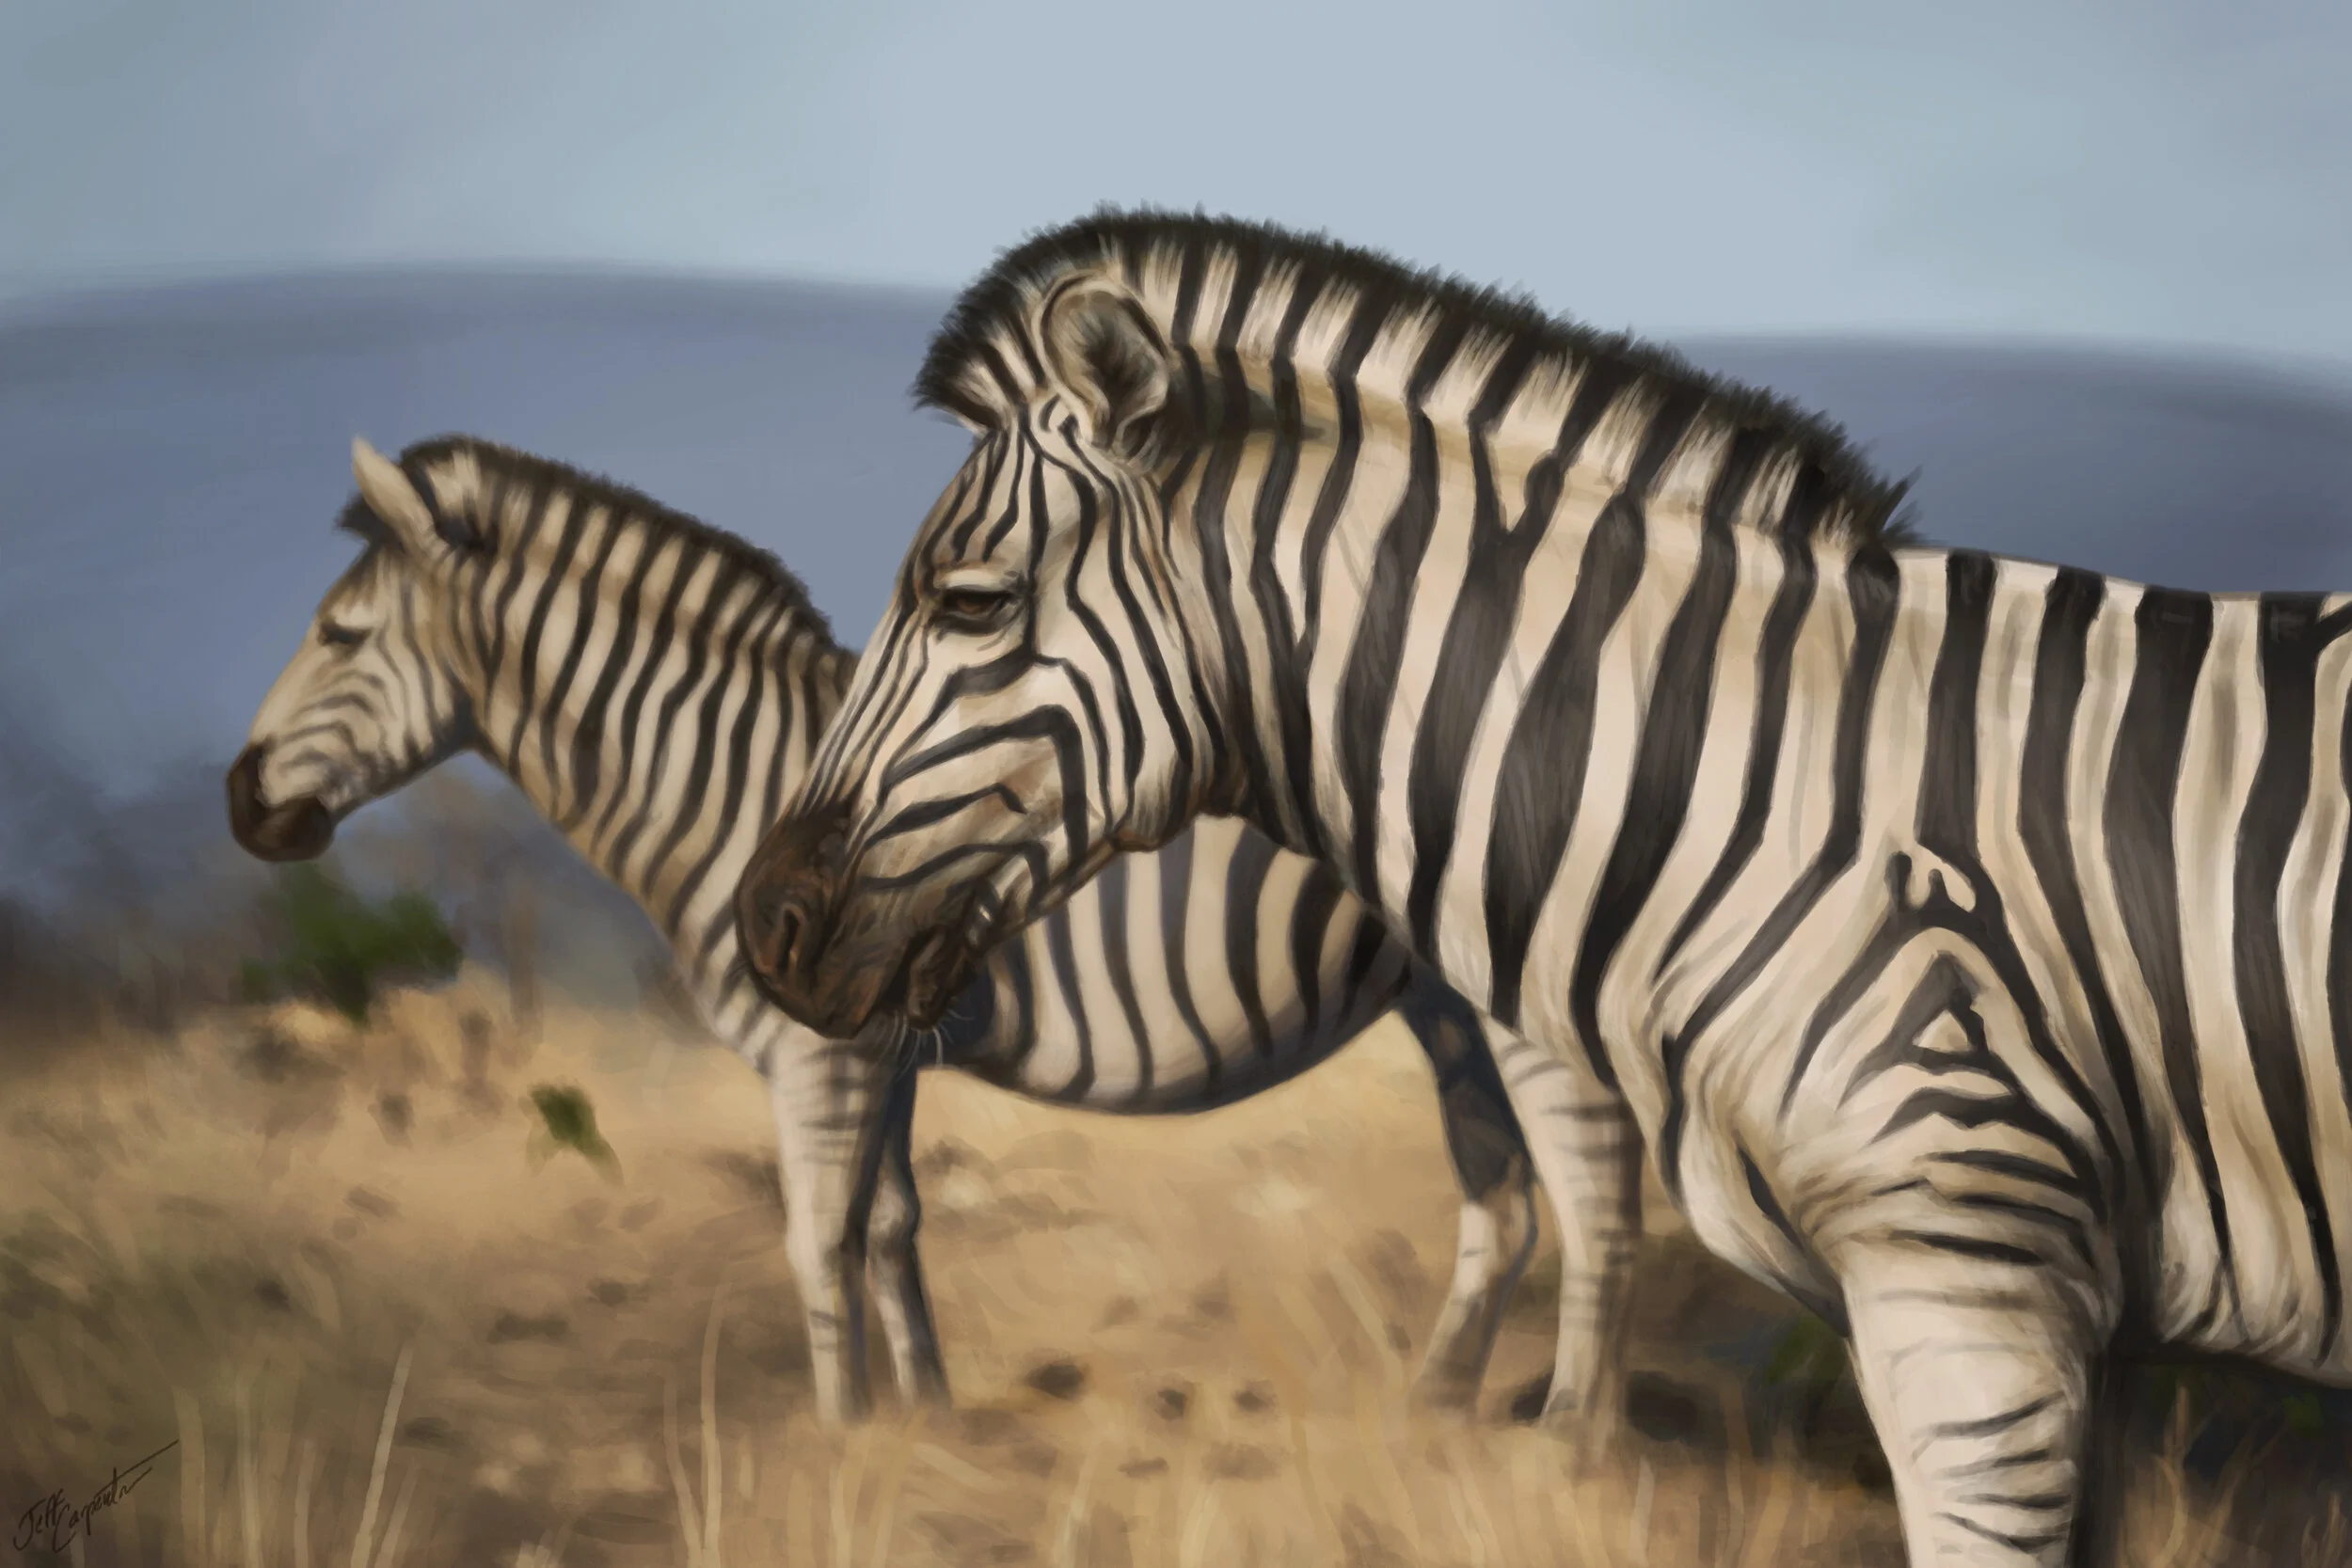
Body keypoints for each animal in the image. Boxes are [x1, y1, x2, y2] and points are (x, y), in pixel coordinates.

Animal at [224, 432, 1642, 1438]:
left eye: (340, 633)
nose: (239, 801)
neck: (727, 779)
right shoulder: (877, 1044)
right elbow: (893, 1225)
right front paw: (924, 1414)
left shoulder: (819, 1055)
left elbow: (817, 1235)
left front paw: (840, 1437)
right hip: (1445, 1004)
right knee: (1507, 1202)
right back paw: (1431, 1412)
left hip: (1520, 1008)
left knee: (1590, 1188)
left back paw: (1569, 1438)